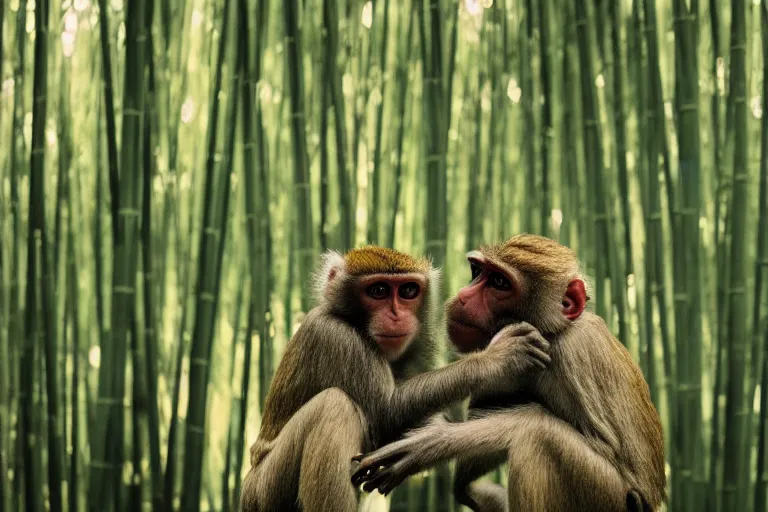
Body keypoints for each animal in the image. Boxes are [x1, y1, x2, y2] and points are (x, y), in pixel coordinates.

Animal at [240, 246, 552, 510]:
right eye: (378, 290)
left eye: (408, 290)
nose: (396, 315)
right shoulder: (334, 334)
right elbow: (385, 414)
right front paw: (496, 358)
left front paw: (428, 442)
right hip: (264, 492)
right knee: (333, 405)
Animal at [350, 235, 664, 512]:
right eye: (477, 272)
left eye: (500, 283)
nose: (463, 297)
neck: (551, 335)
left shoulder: (571, 357)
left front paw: (434, 442)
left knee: (540, 437)